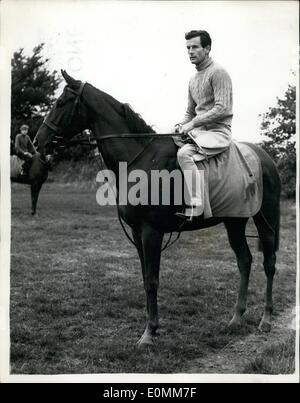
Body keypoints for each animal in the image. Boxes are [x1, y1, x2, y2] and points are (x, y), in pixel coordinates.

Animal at [35, 72, 282, 348]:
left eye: (61, 103)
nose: (37, 141)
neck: (140, 159)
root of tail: (264, 157)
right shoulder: (136, 233)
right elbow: (146, 278)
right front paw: (150, 329)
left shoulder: (151, 232)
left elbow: (152, 281)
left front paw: (149, 333)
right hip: (234, 222)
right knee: (244, 260)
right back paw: (236, 317)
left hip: (265, 220)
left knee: (269, 263)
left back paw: (266, 319)